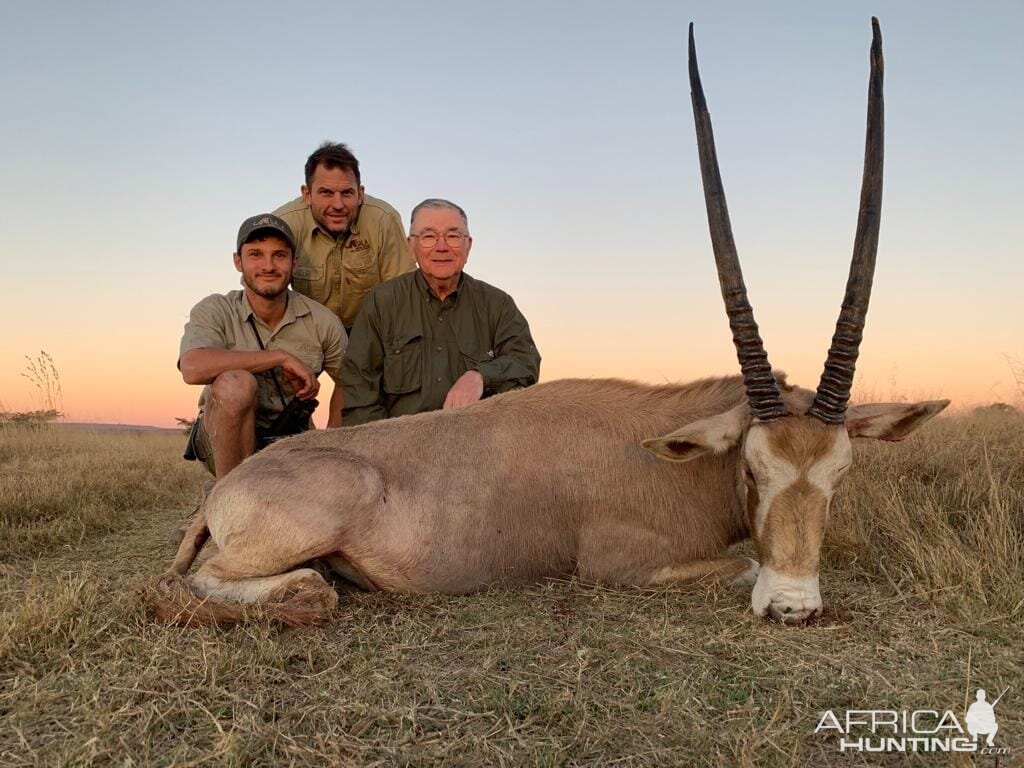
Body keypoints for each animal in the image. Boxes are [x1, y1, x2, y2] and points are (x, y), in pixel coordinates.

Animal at [151, 18, 950, 626]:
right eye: (754, 469)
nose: (794, 607)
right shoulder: (620, 563)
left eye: (841, 474)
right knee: (215, 583)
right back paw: (310, 590)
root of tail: (226, 490)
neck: (670, 451)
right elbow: (743, 562)